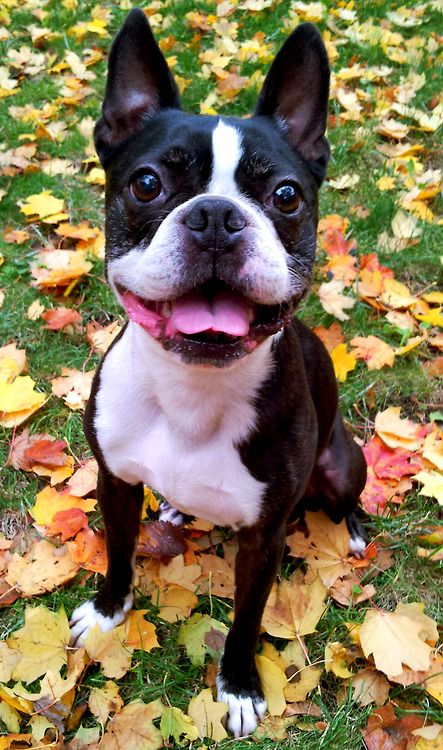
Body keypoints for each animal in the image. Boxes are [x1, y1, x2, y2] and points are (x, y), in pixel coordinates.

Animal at [70, 8, 368, 740]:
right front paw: (108, 611)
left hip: (342, 461)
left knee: (346, 495)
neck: (191, 390)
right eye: (147, 183)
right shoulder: (115, 481)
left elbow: (246, 619)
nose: (215, 216)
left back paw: (348, 529)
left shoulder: (264, 538)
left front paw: (237, 687)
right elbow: (119, 552)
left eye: (285, 196)